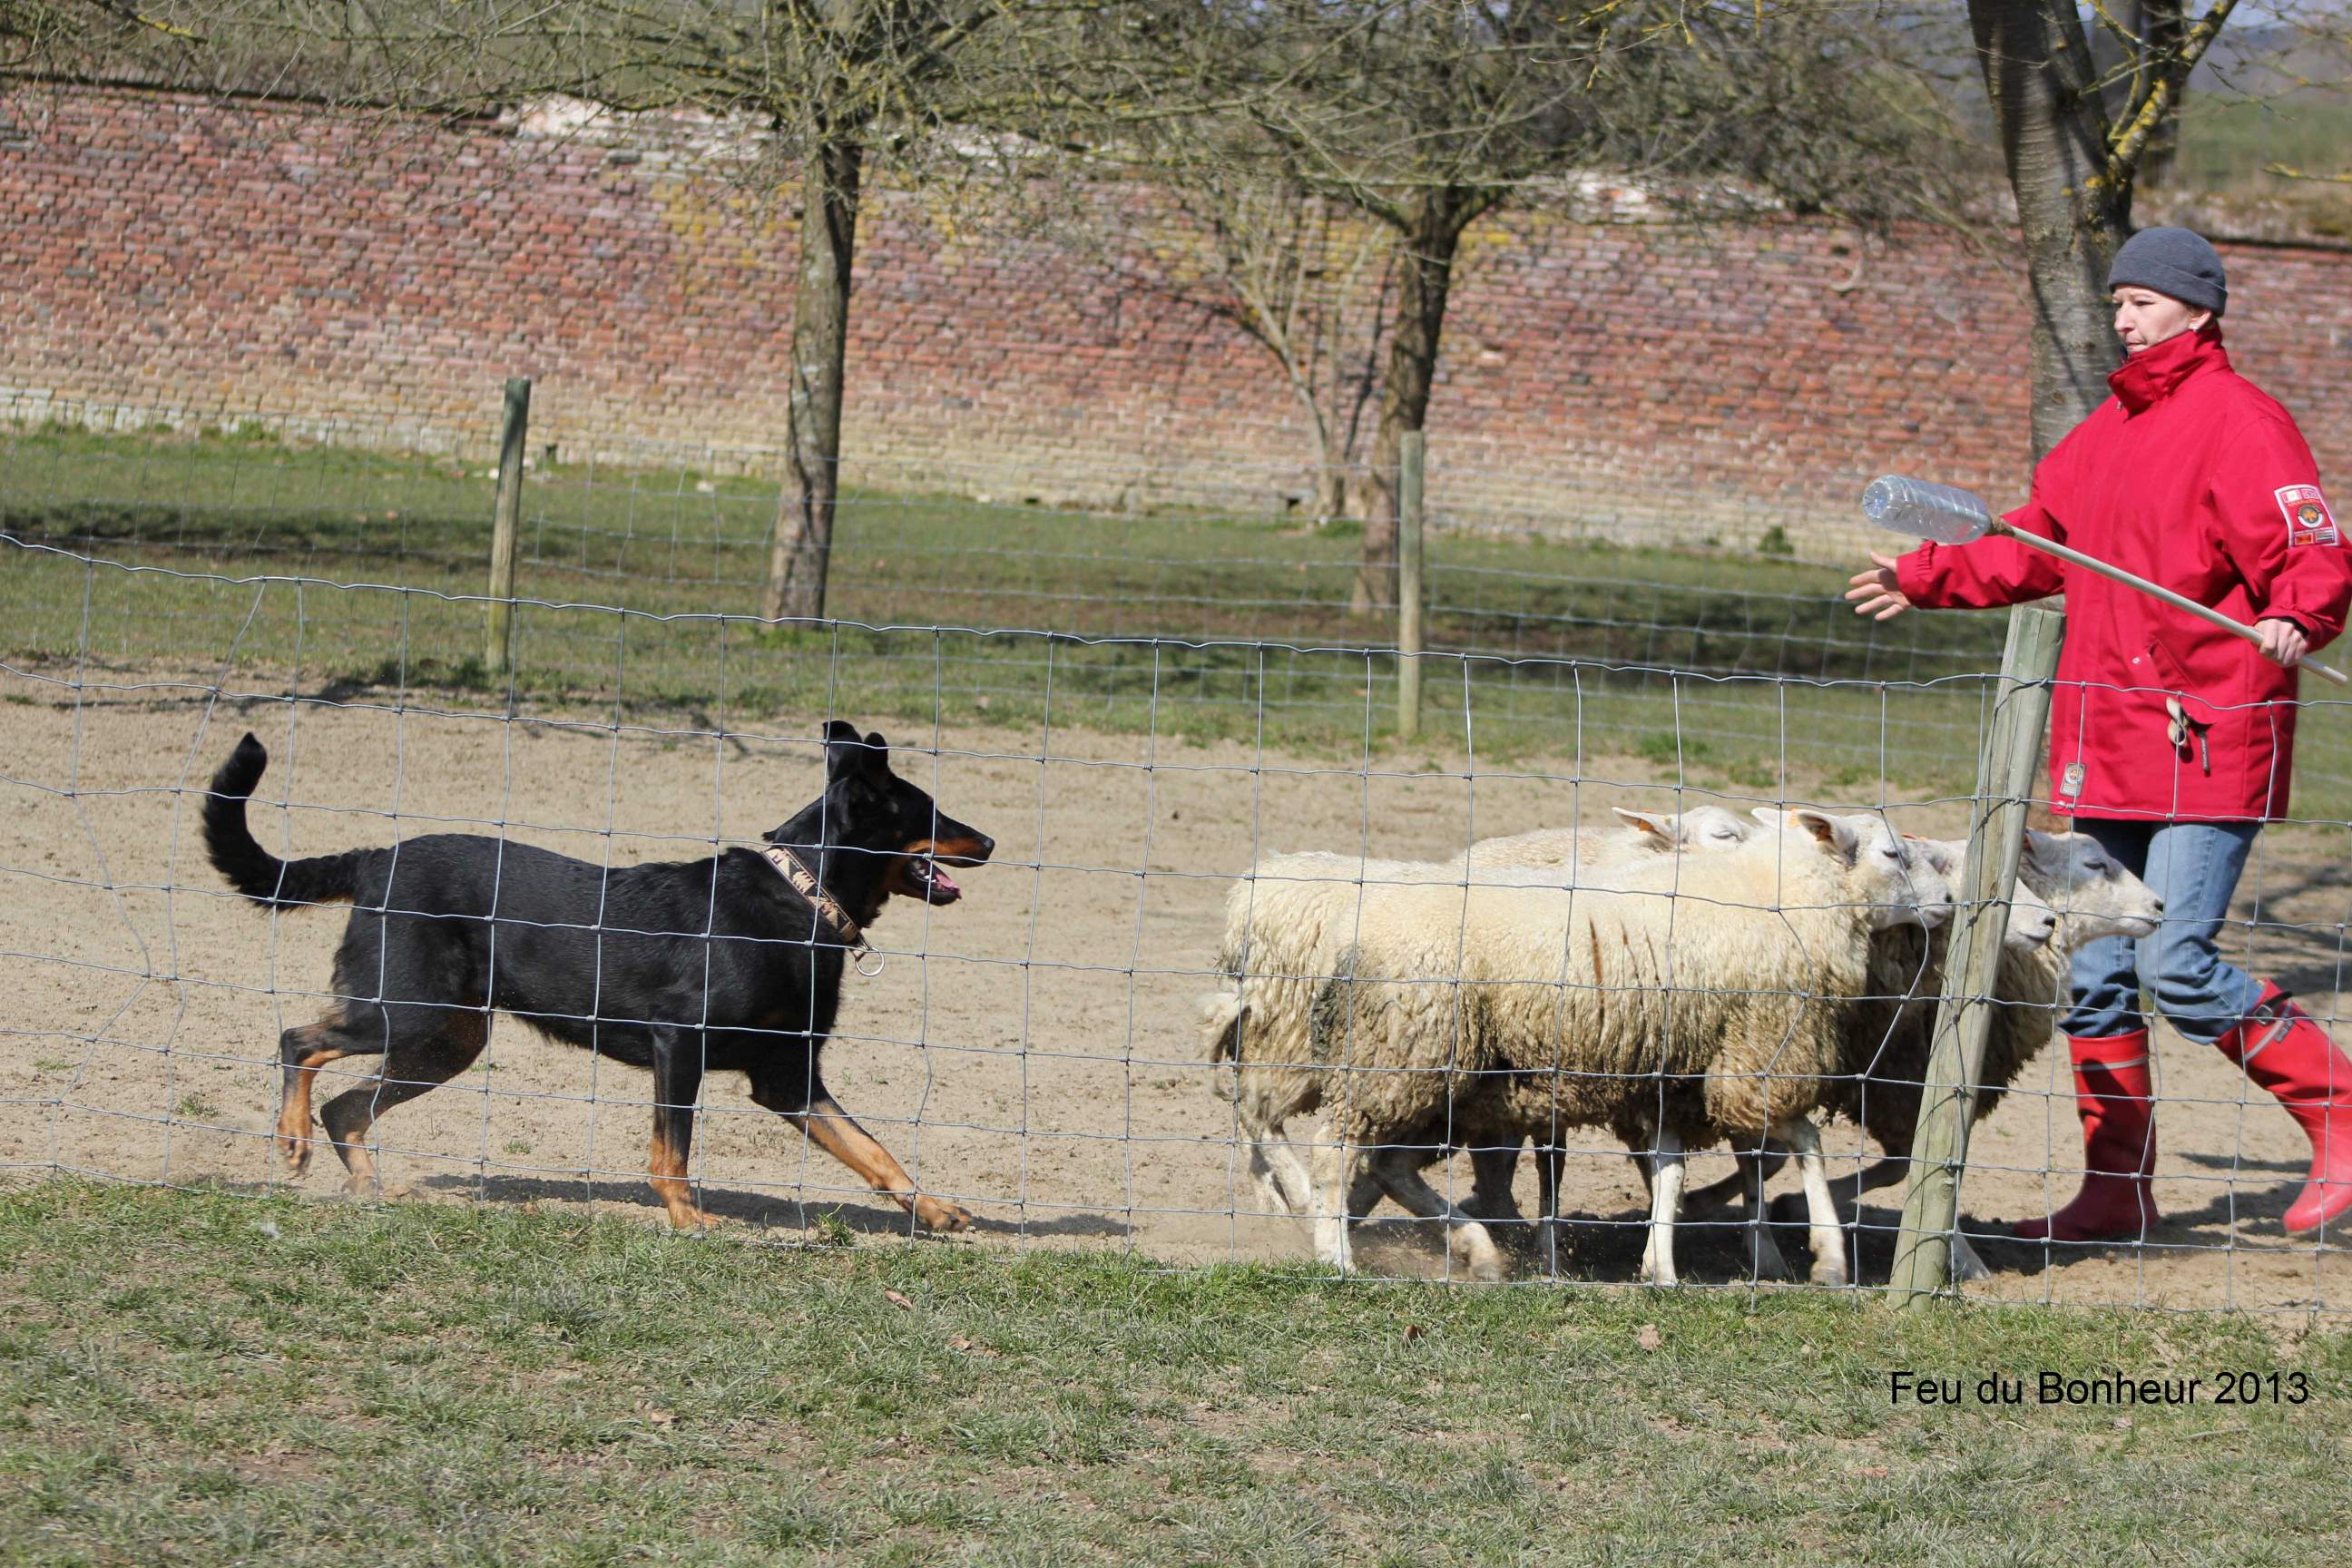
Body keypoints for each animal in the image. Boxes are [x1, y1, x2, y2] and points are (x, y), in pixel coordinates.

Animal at [207, 723, 997, 1240]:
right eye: (930, 811)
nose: (991, 841)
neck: (802, 899)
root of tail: (375, 859)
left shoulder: (789, 1078)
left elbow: (872, 1150)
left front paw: (934, 1211)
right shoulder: (679, 1044)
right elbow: (672, 1152)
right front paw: (688, 1219)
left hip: (447, 1040)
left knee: (345, 1107)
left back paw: (367, 1188)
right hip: (406, 1010)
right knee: (297, 1041)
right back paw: (292, 1142)